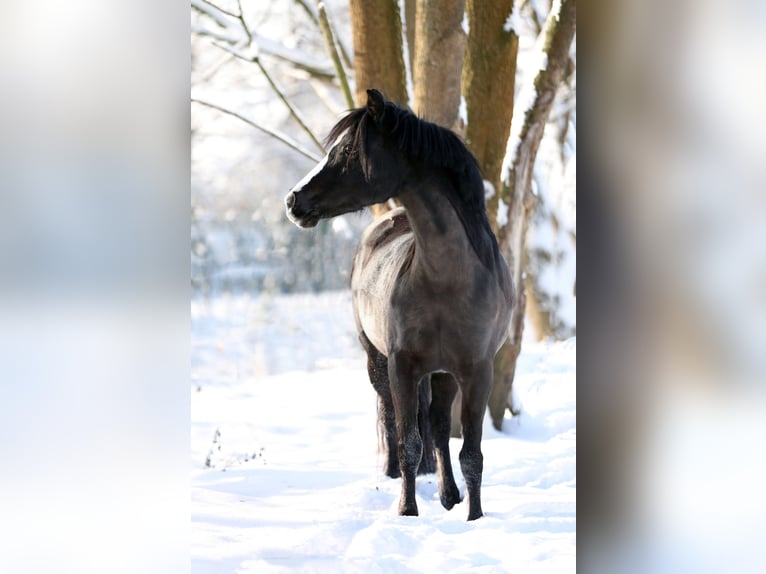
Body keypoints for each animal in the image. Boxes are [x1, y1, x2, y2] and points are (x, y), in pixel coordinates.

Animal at [285, 89, 513, 520]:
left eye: (348, 151)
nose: (292, 201)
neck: (446, 280)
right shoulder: (401, 365)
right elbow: (409, 442)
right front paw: (407, 511)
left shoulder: (478, 371)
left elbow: (471, 453)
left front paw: (475, 517)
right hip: (377, 361)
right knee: (394, 419)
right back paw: (402, 480)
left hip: (443, 373)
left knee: (439, 428)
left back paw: (449, 496)